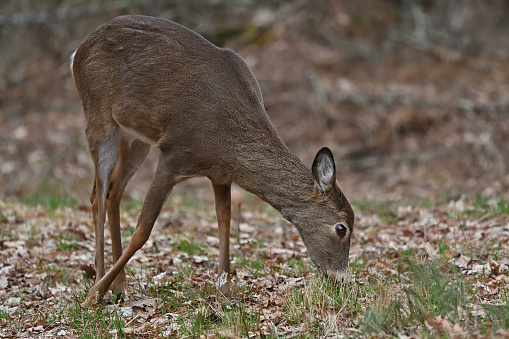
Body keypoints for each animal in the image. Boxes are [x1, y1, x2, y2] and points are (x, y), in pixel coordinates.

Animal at [70, 14, 354, 306]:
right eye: (341, 228)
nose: (340, 280)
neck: (225, 140)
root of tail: (78, 52)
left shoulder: (220, 173)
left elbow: (224, 218)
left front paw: (224, 289)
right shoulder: (174, 154)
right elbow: (143, 230)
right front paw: (94, 293)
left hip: (136, 138)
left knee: (113, 192)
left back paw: (120, 285)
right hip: (98, 114)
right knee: (97, 196)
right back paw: (99, 283)